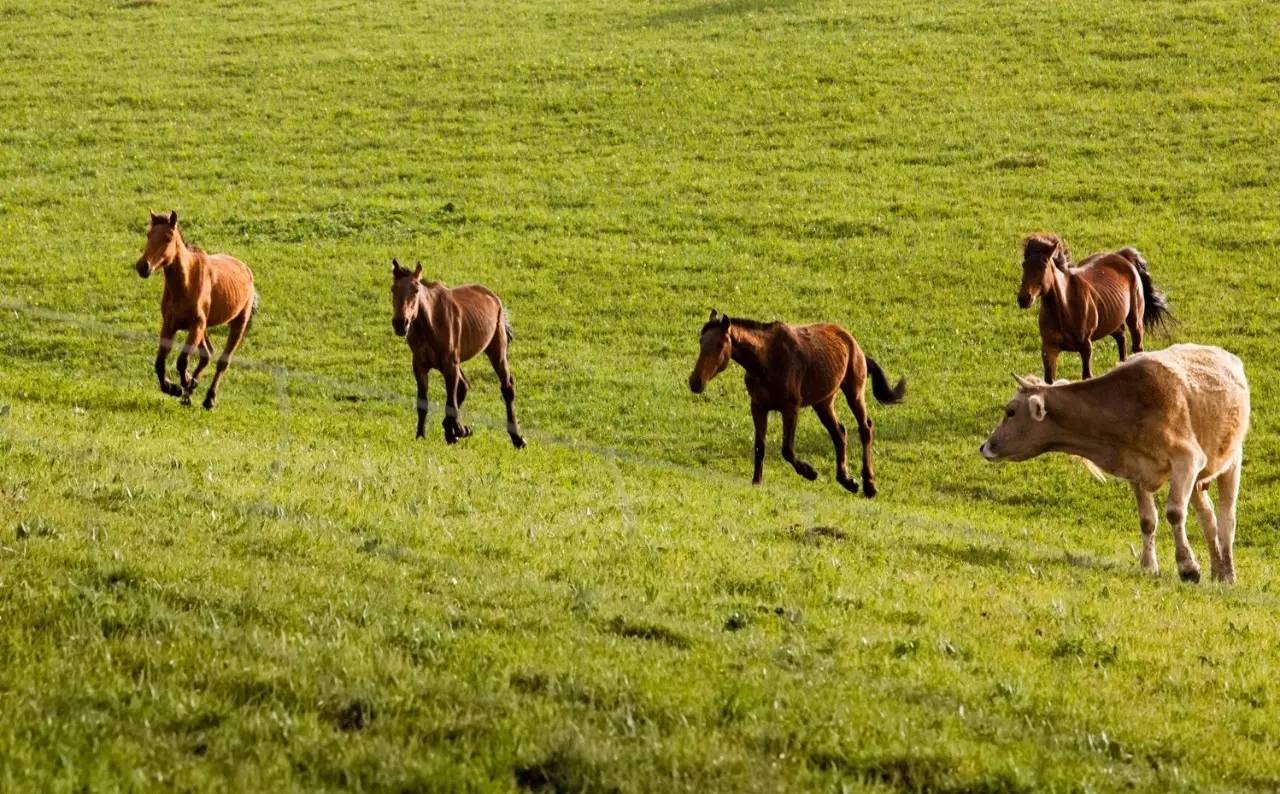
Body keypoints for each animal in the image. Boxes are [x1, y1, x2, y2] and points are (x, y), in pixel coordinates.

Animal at [134, 211, 257, 409]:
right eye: (148, 235)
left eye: (168, 238)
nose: (143, 267)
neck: (186, 283)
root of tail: (246, 270)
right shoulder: (169, 325)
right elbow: (160, 363)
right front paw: (175, 387)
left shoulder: (196, 325)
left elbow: (182, 360)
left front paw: (182, 383)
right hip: (204, 328)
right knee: (207, 354)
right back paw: (190, 391)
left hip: (238, 323)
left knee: (222, 361)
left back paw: (209, 399)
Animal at [384, 259, 524, 445]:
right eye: (393, 289)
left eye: (416, 290)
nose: (400, 323)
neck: (431, 324)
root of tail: (494, 297)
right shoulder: (420, 366)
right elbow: (423, 403)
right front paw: (422, 435)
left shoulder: (450, 366)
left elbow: (451, 401)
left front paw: (457, 430)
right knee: (464, 386)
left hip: (496, 350)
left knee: (507, 387)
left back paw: (517, 438)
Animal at [686, 309, 906, 496]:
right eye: (701, 341)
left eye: (719, 344)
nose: (695, 382)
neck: (767, 359)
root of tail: (855, 345)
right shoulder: (758, 406)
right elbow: (760, 446)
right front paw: (757, 482)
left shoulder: (790, 408)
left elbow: (787, 449)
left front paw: (810, 472)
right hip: (823, 402)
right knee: (839, 433)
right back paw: (847, 481)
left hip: (854, 393)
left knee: (865, 428)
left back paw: (869, 485)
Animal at [977, 343, 1249, 583]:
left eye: (1010, 411)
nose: (985, 446)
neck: (1130, 405)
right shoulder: (1137, 469)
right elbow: (1148, 520)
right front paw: (1149, 566)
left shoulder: (1187, 459)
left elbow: (1174, 512)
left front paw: (1188, 567)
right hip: (1196, 480)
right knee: (1208, 518)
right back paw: (1217, 570)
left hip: (1230, 461)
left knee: (1226, 519)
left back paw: (1228, 573)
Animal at [1018, 233, 1172, 381]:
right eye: (1024, 264)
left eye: (1044, 265)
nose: (1024, 299)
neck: (1066, 308)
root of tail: (1121, 256)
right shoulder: (1049, 349)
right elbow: (1049, 381)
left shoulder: (1086, 347)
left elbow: (1087, 375)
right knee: (1121, 338)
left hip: (1135, 320)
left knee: (1137, 346)